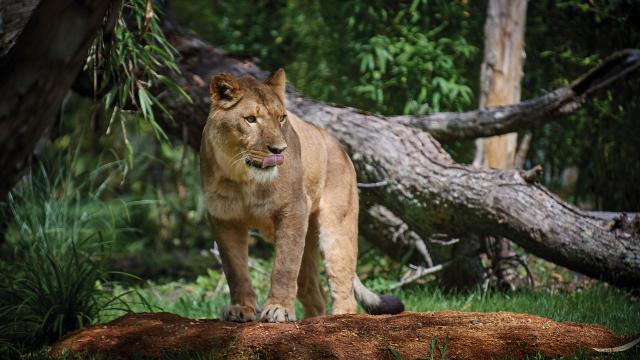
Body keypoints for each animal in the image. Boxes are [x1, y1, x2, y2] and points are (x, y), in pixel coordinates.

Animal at [200, 69, 402, 322]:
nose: (279, 150)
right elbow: (235, 270)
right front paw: (240, 308)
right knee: (315, 294)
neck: (244, 179)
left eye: (281, 118)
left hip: (336, 229)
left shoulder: (293, 209)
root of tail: (340, 148)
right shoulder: (224, 218)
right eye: (251, 119)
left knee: (344, 291)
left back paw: (338, 319)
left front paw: (278, 309)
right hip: (307, 241)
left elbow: (284, 266)